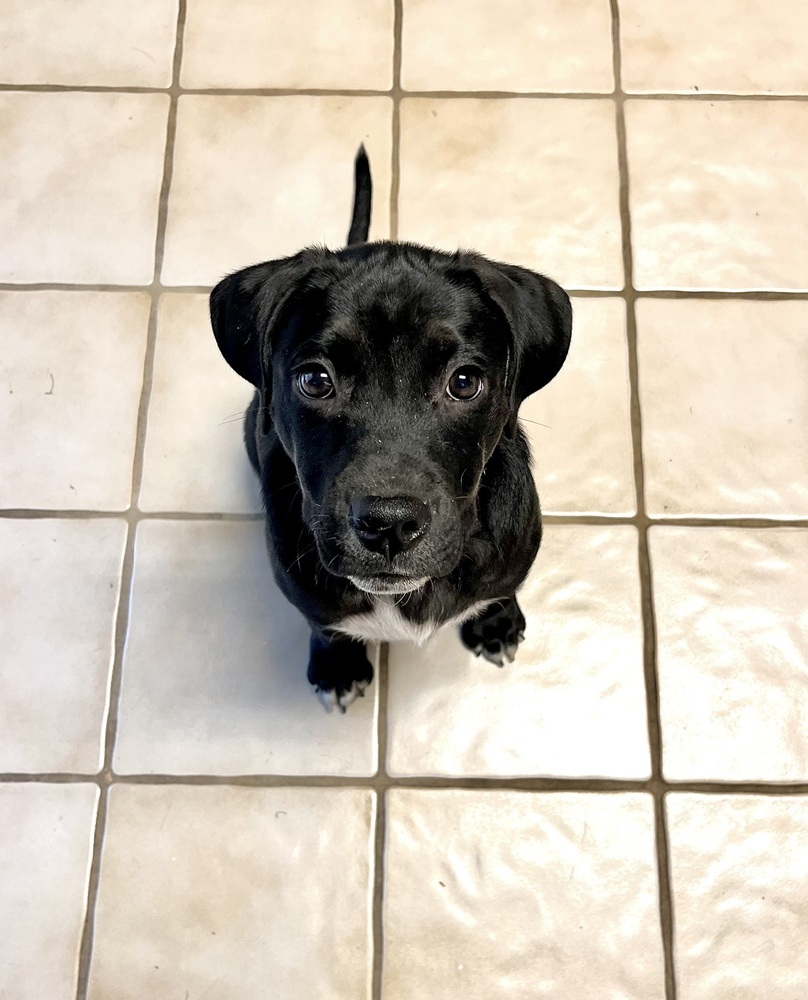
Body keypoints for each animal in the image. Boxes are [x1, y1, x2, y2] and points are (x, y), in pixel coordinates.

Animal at [211, 146, 572, 712]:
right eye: (315, 380)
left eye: (464, 382)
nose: (389, 524)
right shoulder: (305, 590)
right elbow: (324, 623)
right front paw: (336, 665)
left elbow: (500, 588)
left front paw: (496, 622)